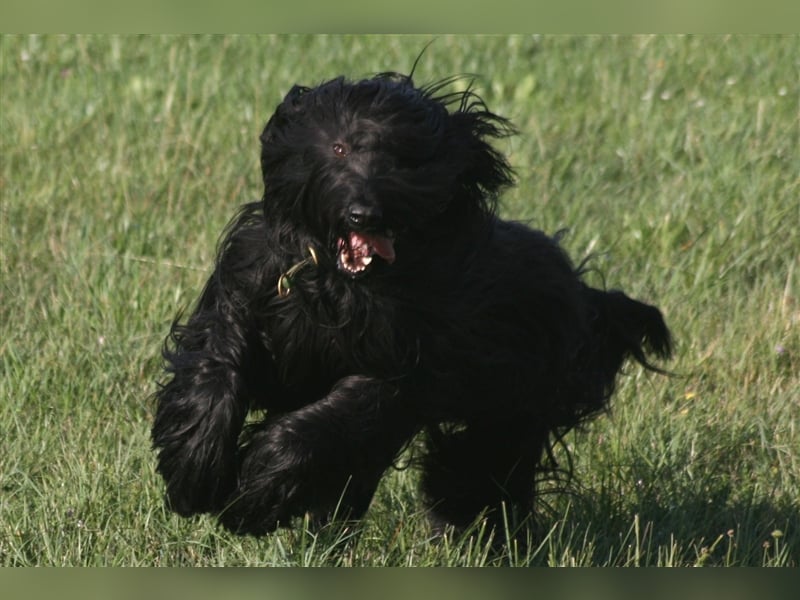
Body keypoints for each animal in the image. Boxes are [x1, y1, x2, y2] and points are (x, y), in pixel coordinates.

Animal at [152, 72, 668, 536]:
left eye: (403, 160)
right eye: (340, 148)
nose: (364, 213)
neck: (337, 286)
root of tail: (583, 293)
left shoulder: (407, 364)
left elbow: (338, 417)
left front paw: (255, 492)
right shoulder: (250, 291)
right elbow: (218, 366)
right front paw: (194, 470)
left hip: (516, 403)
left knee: (479, 470)